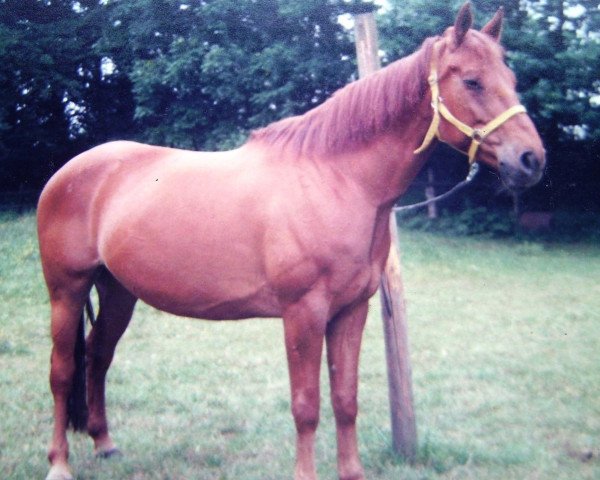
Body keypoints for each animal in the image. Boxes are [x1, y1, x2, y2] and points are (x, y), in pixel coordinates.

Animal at [37, 4, 544, 480]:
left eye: (511, 78)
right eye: (473, 81)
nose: (531, 159)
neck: (337, 180)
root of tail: (70, 172)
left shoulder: (351, 310)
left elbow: (345, 399)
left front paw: (352, 472)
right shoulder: (303, 313)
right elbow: (306, 406)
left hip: (118, 291)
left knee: (98, 357)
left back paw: (105, 444)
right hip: (67, 290)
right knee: (63, 373)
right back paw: (59, 463)